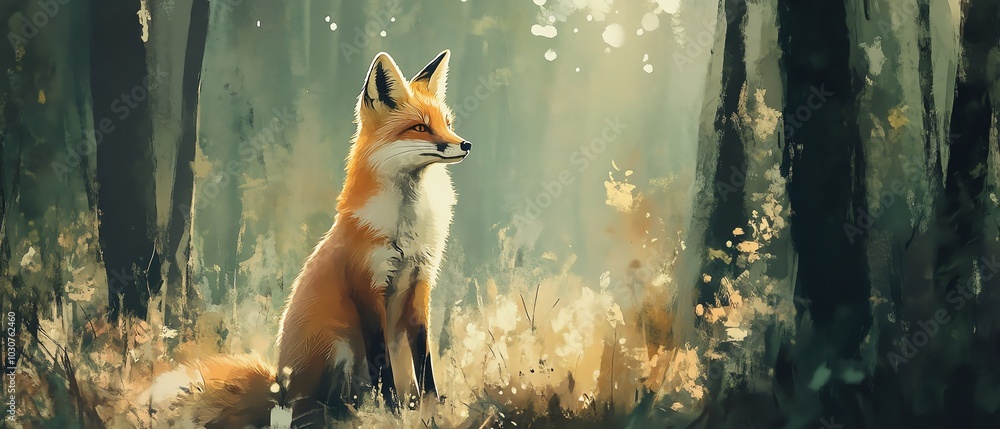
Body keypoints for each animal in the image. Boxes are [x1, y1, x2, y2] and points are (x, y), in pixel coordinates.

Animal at [147, 50, 470, 428]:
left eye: (446, 122)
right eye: (419, 127)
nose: (465, 144)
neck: (406, 225)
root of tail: (279, 389)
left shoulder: (420, 284)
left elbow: (426, 362)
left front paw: (431, 411)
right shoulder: (369, 289)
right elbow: (382, 368)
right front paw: (392, 412)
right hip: (338, 345)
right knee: (322, 408)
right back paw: (347, 413)